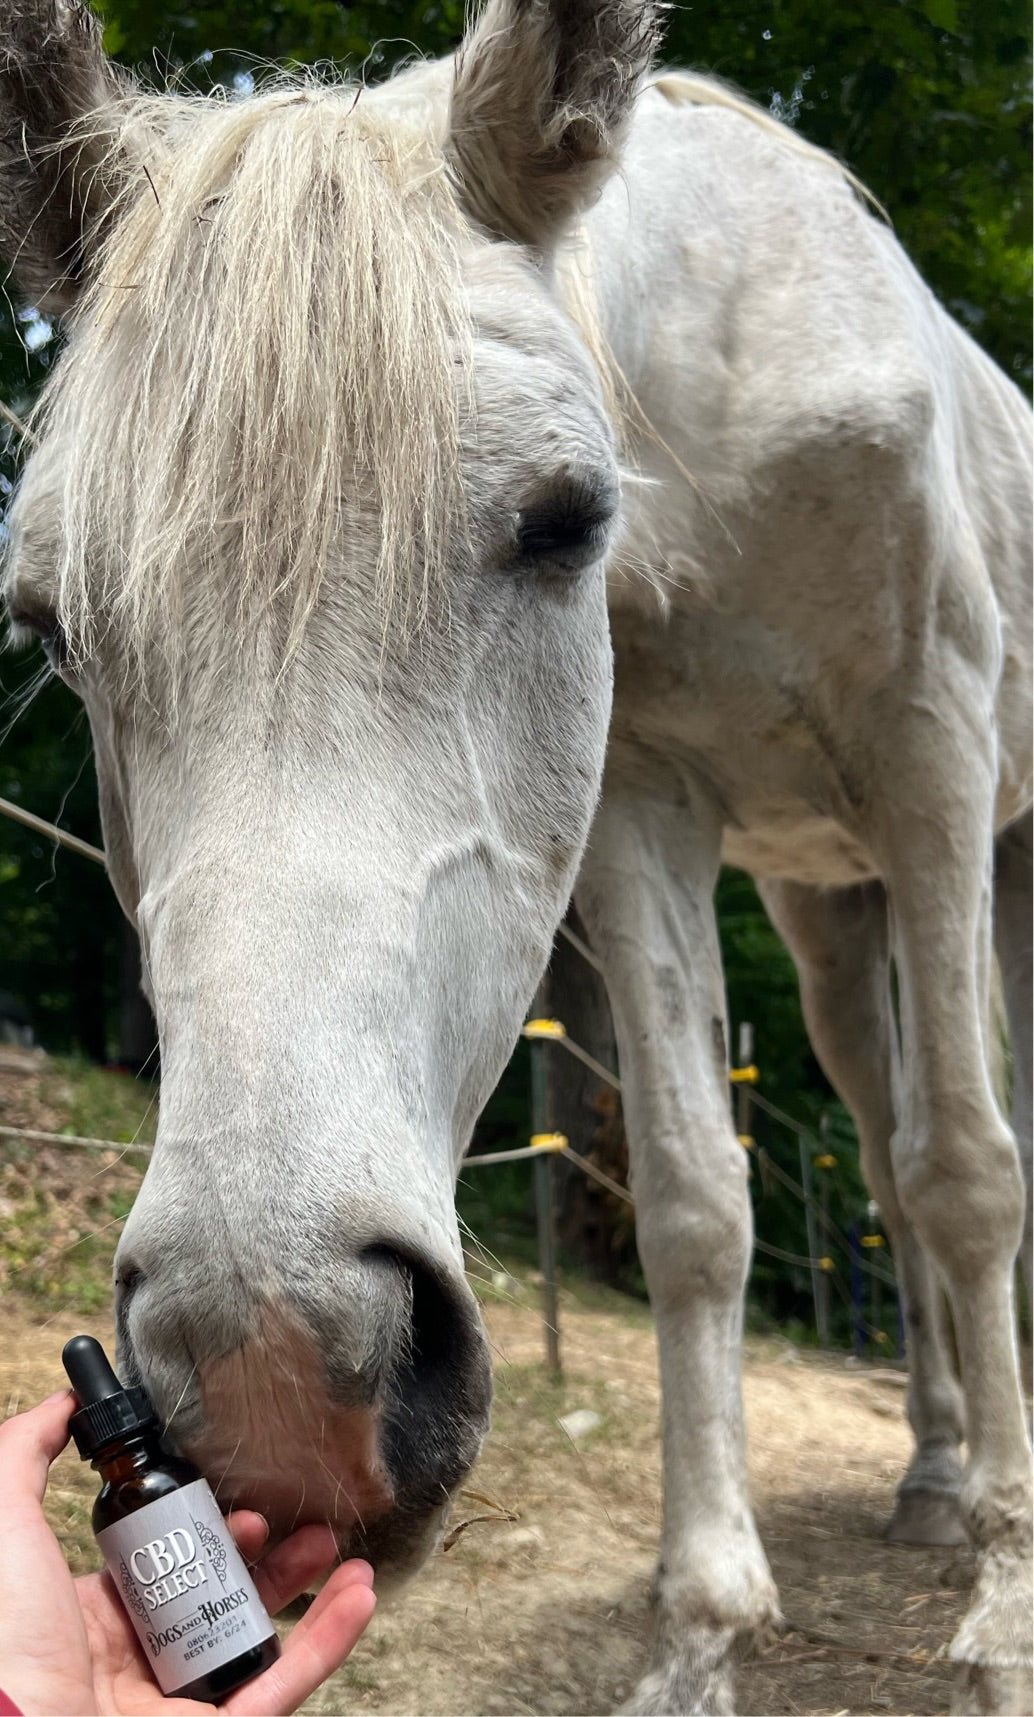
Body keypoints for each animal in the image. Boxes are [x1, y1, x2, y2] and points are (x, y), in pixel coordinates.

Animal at [1, 0, 1030, 1710]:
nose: (276, 1370)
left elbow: (969, 1173)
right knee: (877, 1162)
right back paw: (932, 1479)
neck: (725, 397)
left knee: (944, 1153)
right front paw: (698, 1635)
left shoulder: (926, 754)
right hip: (823, 911)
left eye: (563, 521)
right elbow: (695, 1208)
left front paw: (1007, 1615)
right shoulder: (644, 811)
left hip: (982, 863)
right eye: (48, 623)